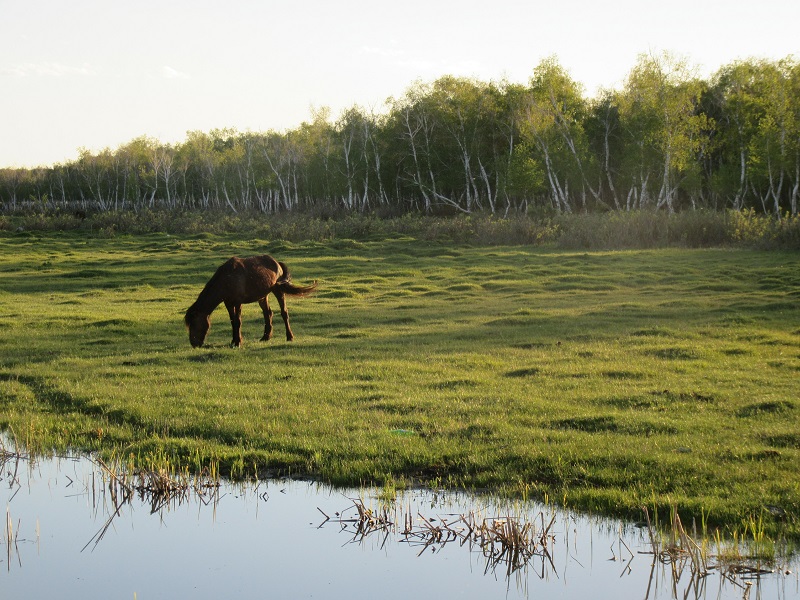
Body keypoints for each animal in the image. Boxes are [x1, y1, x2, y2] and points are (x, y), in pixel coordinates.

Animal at [184, 255, 316, 350]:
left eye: (194, 323)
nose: (194, 344)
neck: (226, 278)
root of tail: (277, 263)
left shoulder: (237, 302)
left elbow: (238, 321)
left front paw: (238, 342)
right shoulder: (228, 303)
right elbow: (232, 321)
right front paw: (233, 341)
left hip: (278, 290)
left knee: (284, 313)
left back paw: (289, 337)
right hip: (262, 296)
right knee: (268, 314)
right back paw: (265, 337)